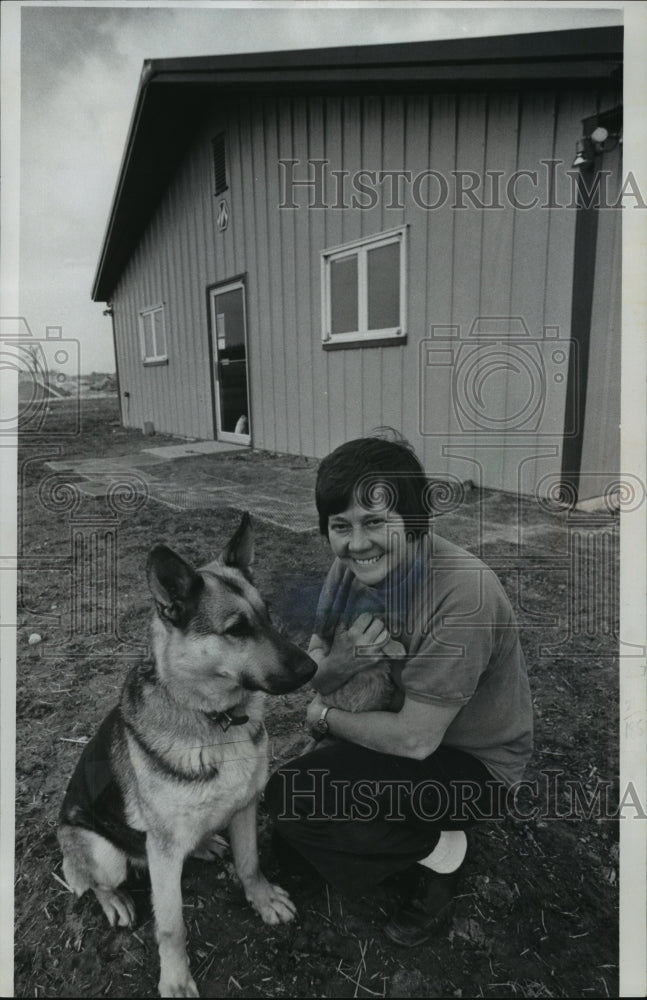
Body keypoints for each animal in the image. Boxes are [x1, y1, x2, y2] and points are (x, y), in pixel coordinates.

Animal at [58, 512, 316, 996]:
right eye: (236, 629)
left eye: (268, 616)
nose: (313, 668)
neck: (214, 719)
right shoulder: (162, 850)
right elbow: (171, 926)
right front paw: (176, 979)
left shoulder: (245, 806)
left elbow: (250, 863)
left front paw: (262, 899)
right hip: (104, 853)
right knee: (92, 882)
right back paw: (115, 900)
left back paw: (205, 845)